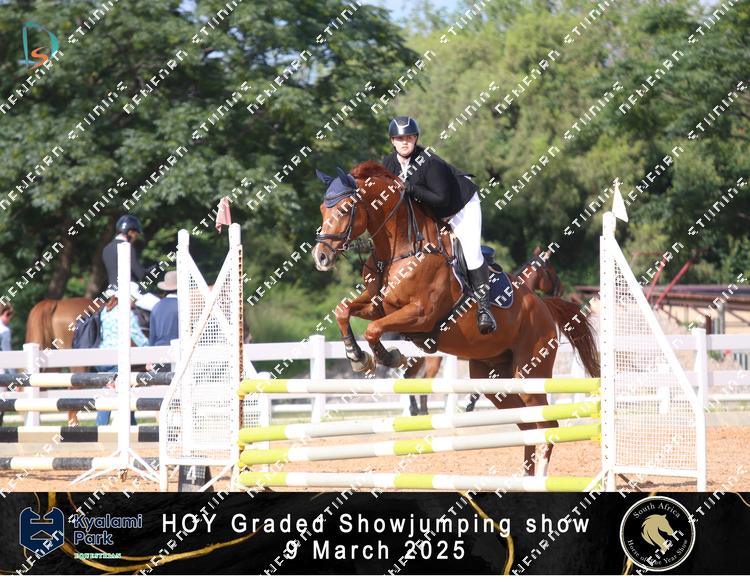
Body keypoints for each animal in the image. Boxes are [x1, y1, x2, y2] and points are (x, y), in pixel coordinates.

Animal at [313, 162, 599, 477]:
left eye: (345, 209)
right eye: (322, 209)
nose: (320, 257)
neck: (401, 250)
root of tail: (544, 306)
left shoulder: (421, 314)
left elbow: (374, 330)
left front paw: (388, 356)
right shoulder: (379, 306)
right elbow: (344, 311)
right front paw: (357, 356)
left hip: (530, 373)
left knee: (546, 424)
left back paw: (540, 478)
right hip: (493, 378)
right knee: (528, 425)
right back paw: (525, 477)